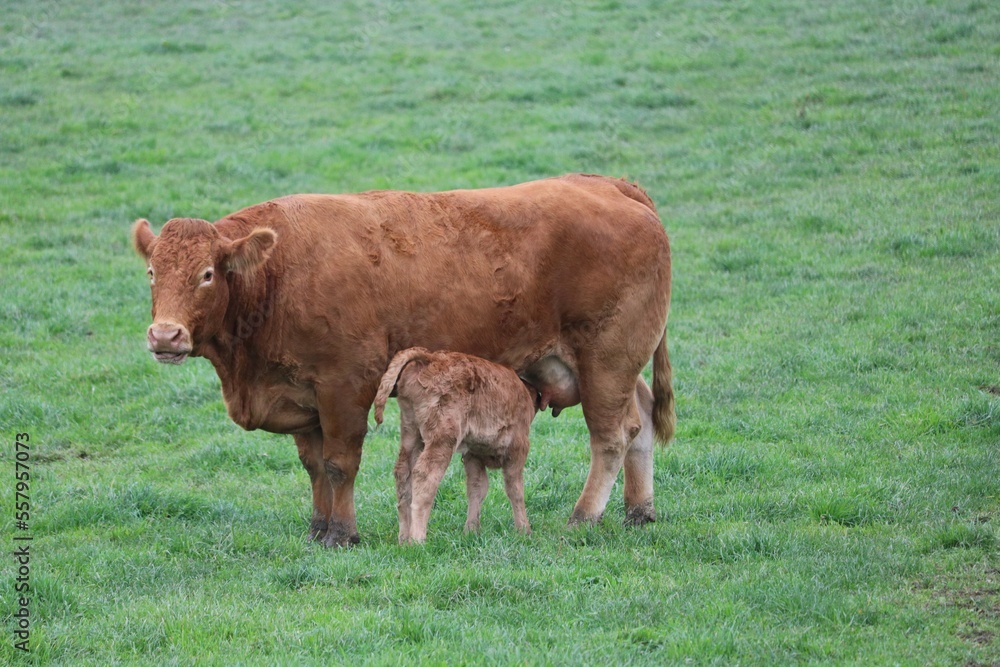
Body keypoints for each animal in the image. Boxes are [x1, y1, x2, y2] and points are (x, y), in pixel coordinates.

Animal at [374, 348, 540, 544]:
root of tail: (430, 358)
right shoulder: (518, 448)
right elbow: (515, 488)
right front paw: (524, 531)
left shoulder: (473, 454)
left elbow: (477, 488)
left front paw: (471, 531)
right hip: (442, 438)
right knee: (425, 474)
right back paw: (418, 539)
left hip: (411, 433)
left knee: (403, 474)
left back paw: (403, 538)